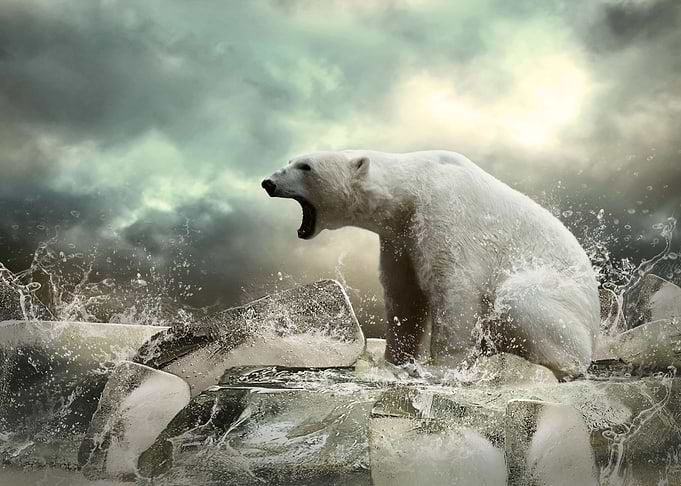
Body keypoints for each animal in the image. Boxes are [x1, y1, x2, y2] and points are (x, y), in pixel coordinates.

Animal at [262, 150, 600, 378]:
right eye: (291, 161)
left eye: (305, 166)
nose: (267, 182)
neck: (412, 187)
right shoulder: (400, 236)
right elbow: (404, 294)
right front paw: (393, 360)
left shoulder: (445, 212)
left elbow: (454, 286)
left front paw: (437, 370)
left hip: (561, 296)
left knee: (520, 298)